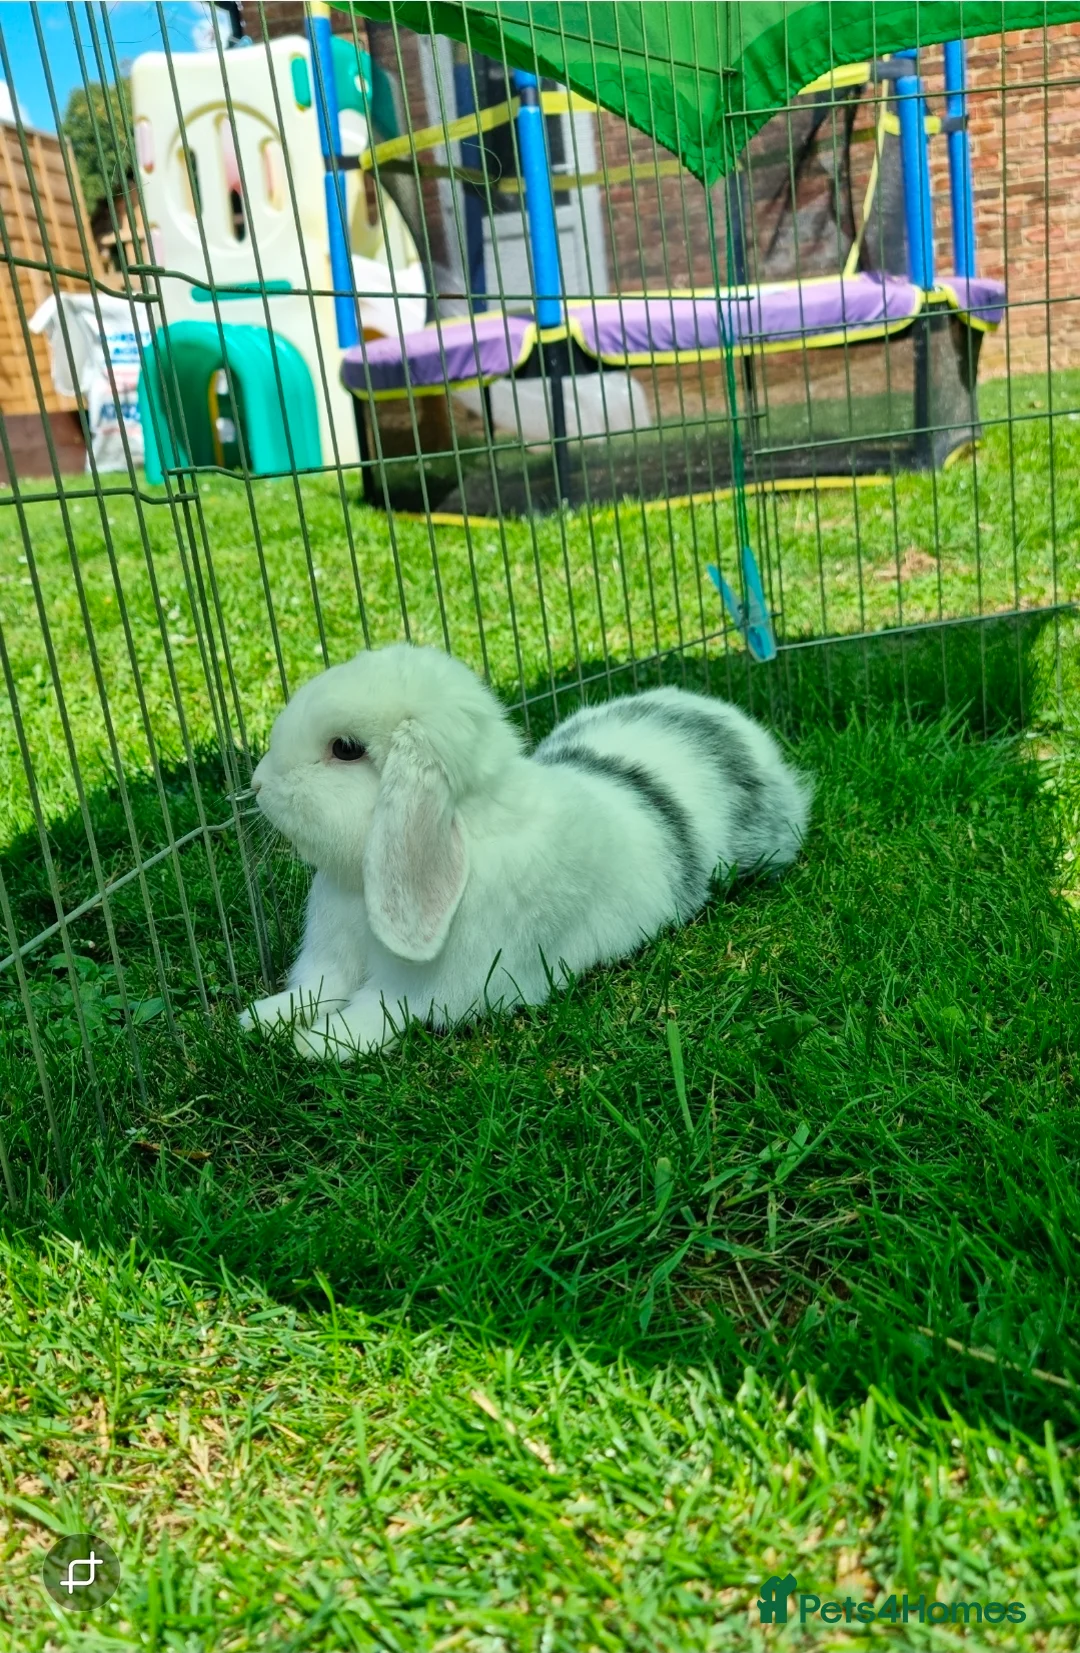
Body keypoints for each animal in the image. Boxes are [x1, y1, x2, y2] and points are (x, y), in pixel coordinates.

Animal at [238, 642, 812, 1061]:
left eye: (346, 749)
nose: (257, 784)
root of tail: (732, 722)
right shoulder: (331, 963)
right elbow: (314, 990)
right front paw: (261, 1019)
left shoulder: (418, 990)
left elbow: (375, 1012)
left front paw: (317, 1044)